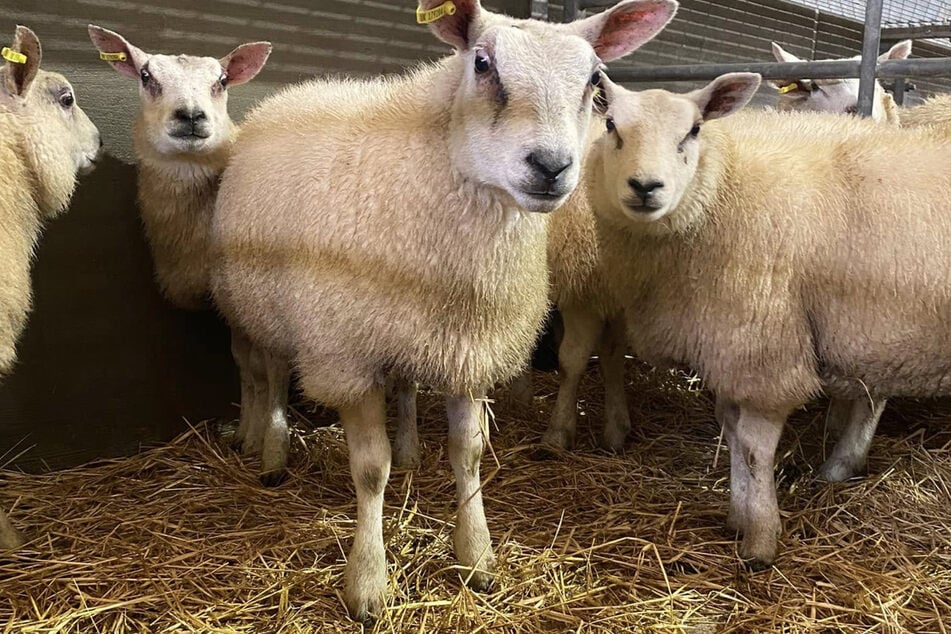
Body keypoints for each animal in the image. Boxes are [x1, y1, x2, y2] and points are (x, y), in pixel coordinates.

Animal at [209, 0, 677, 621]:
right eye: (482, 63)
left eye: (594, 81)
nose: (551, 166)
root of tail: (296, 91)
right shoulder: (347, 356)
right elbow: (370, 471)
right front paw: (368, 582)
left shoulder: (469, 345)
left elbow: (469, 452)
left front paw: (476, 556)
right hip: (268, 312)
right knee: (273, 376)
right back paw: (272, 448)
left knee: (404, 386)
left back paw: (409, 450)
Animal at [588, 72, 951, 567]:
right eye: (610, 125)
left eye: (694, 130)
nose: (645, 186)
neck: (721, 191)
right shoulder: (729, 343)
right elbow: (731, 432)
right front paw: (738, 517)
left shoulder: (763, 351)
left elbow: (754, 447)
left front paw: (760, 540)